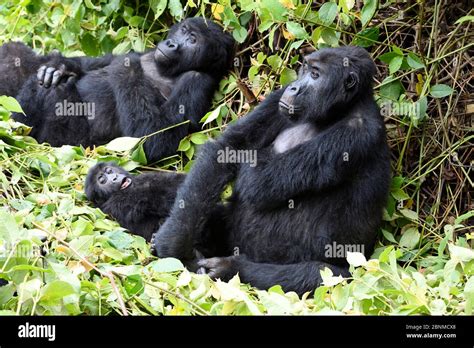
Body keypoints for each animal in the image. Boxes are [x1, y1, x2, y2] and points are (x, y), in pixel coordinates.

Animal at [1, 19, 235, 164]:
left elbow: (155, 139)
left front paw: (126, 66)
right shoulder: (148, 51)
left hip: (74, 143)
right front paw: (61, 65)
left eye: (193, 40)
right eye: (183, 30)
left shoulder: (197, 81)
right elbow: (92, 64)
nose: (171, 44)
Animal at [154, 45, 390, 296]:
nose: (294, 87)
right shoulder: (278, 98)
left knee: (320, 276)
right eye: (305, 69)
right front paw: (174, 241)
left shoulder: (357, 133)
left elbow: (256, 181)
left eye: (315, 75)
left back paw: (232, 268)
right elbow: (229, 148)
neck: (342, 109)